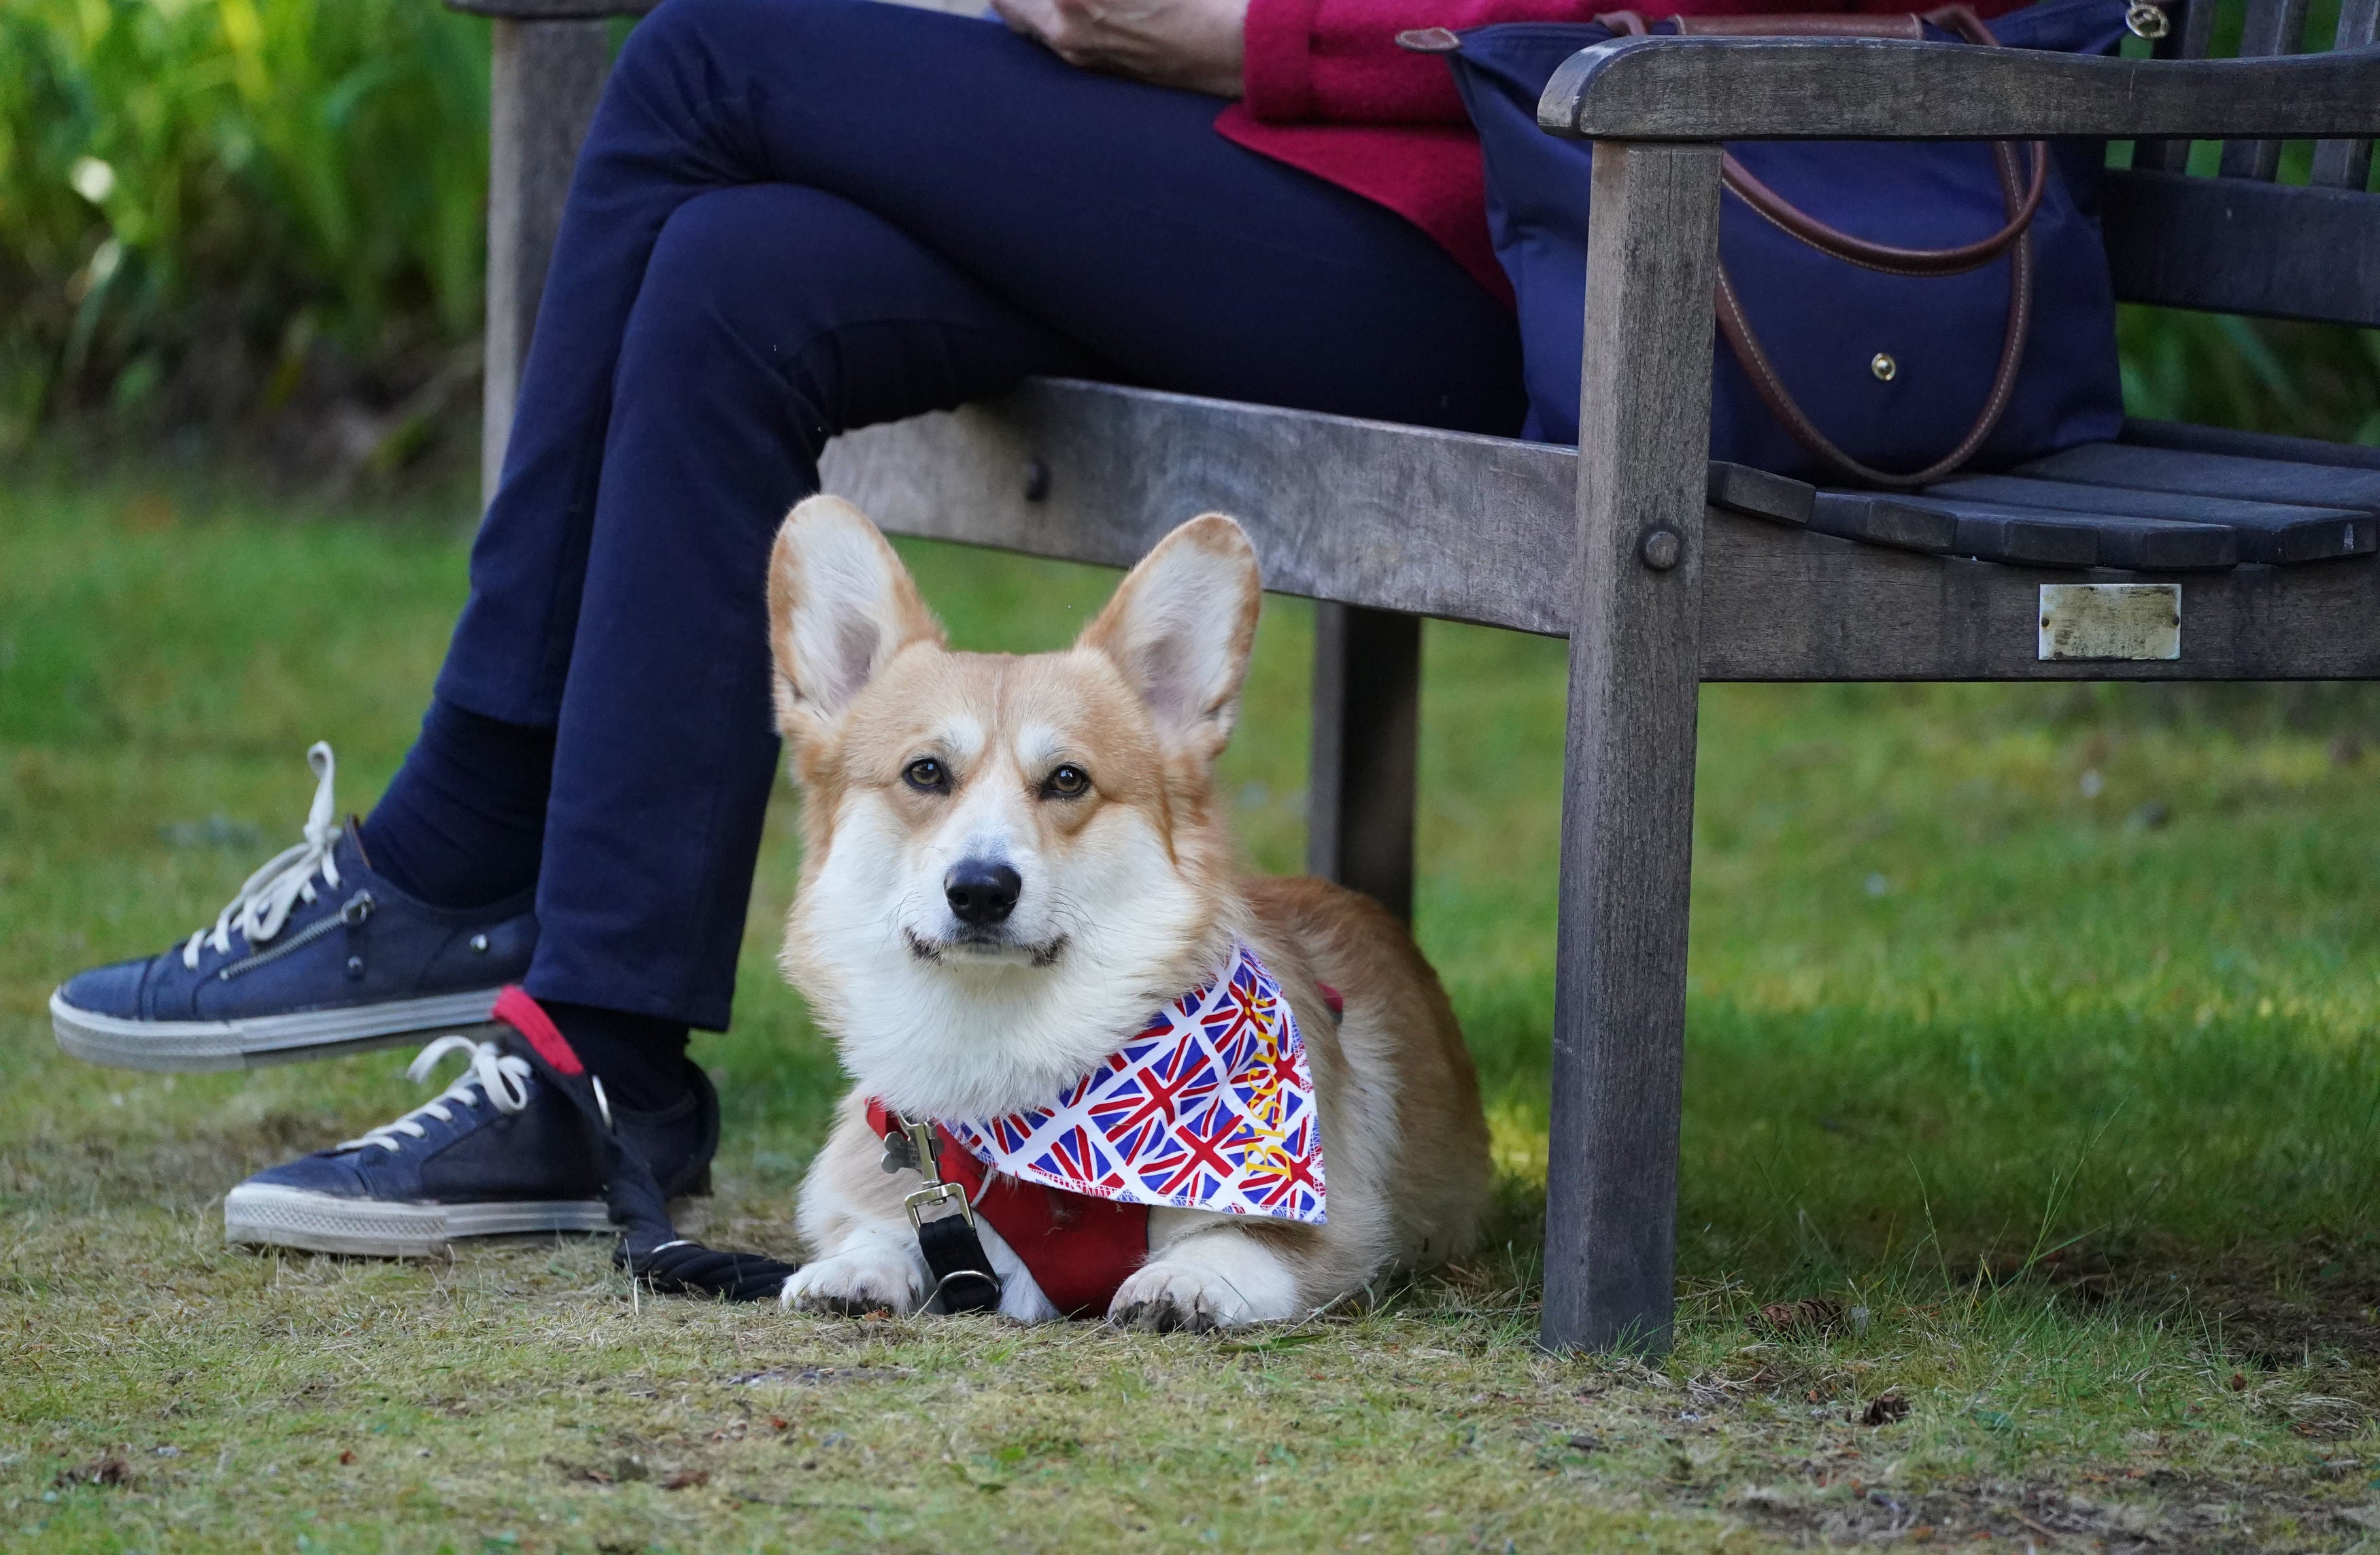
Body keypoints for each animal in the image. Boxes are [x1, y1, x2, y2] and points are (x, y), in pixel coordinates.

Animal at [766, 497, 1485, 1324]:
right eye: (925, 772)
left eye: (1067, 780)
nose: (980, 888)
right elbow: (887, 1228)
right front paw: (854, 1268)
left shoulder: (1334, 1230)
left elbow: (1237, 1241)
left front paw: (1185, 1280)